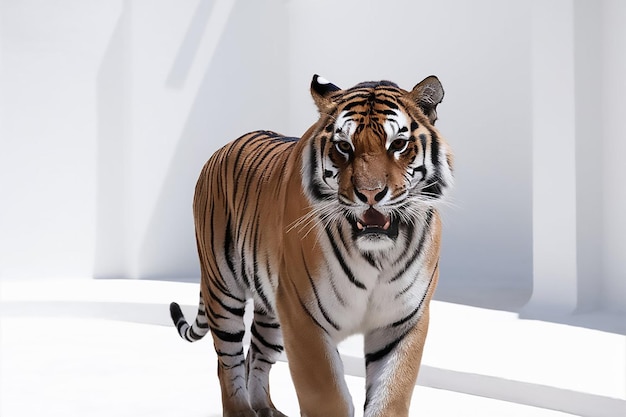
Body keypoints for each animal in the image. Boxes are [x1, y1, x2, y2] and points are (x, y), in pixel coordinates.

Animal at [169, 75, 454, 416]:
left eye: (397, 144)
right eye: (344, 146)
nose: (370, 194)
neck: (376, 256)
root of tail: (221, 149)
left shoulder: (403, 321)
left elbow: (390, 396)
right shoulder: (303, 318)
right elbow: (328, 397)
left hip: (271, 311)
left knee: (256, 354)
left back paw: (267, 409)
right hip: (223, 290)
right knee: (228, 360)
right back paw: (241, 411)